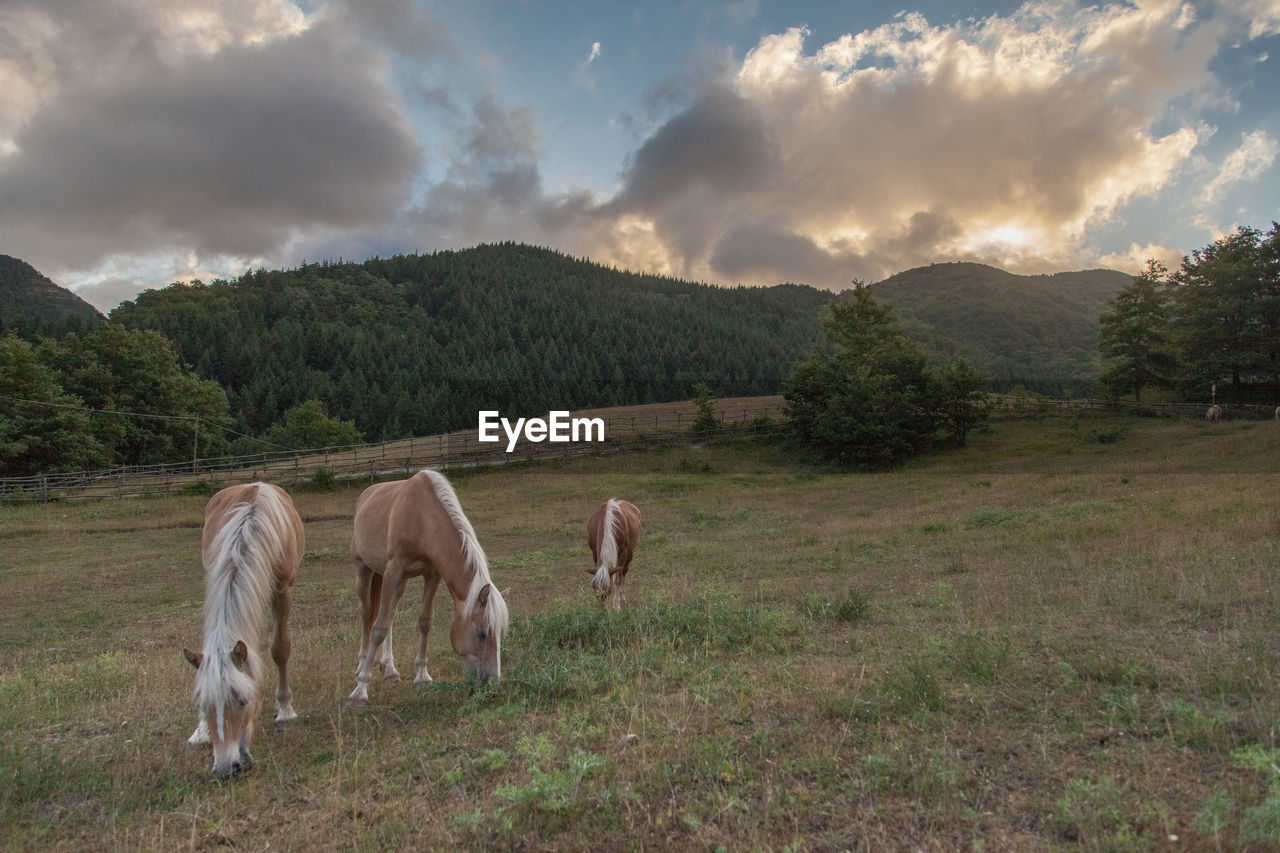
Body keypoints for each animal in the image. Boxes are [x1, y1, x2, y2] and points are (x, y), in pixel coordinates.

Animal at [181, 481, 303, 773]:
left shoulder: (283, 592)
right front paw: (201, 730)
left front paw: (286, 710)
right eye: (203, 702)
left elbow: (280, 649)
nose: (226, 767)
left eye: (242, 701)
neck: (251, 526)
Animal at [348, 468, 512, 701]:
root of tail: (365, 495)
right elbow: (378, 628)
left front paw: (422, 675)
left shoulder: (432, 575)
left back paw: (390, 670)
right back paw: (361, 665)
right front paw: (360, 689)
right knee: (367, 612)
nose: (492, 684)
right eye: (481, 633)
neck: (423, 518)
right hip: (364, 568)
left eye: (500, 634)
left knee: (389, 614)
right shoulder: (394, 571)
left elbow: (424, 622)